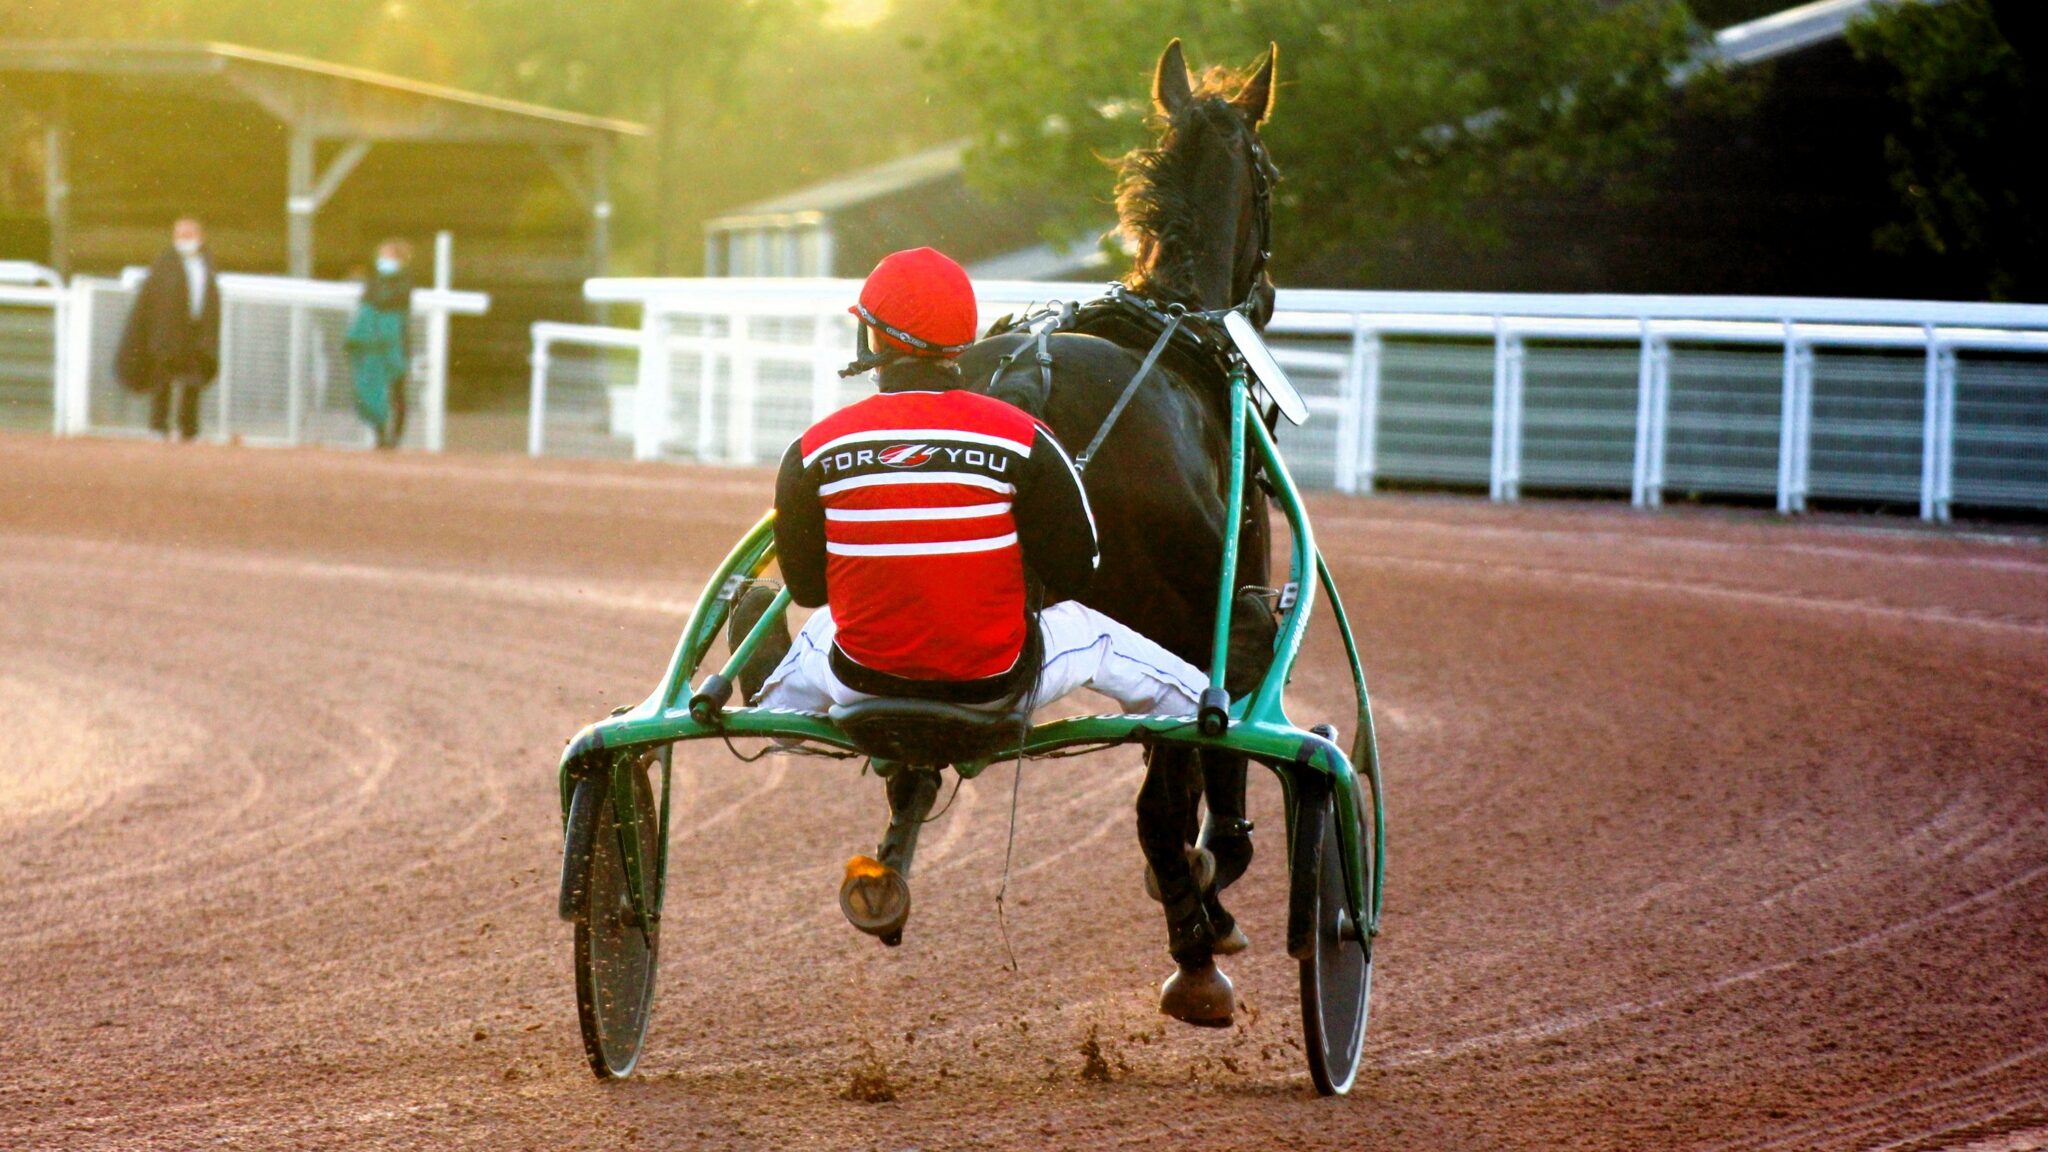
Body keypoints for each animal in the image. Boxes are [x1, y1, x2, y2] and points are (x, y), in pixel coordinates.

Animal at [958, 38, 1277, 1020]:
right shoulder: (1220, 602)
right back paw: (1197, 948)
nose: (1269, 296)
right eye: (1273, 174)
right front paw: (1207, 901)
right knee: (1170, 792)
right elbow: (1203, 780)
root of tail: (1032, 387)